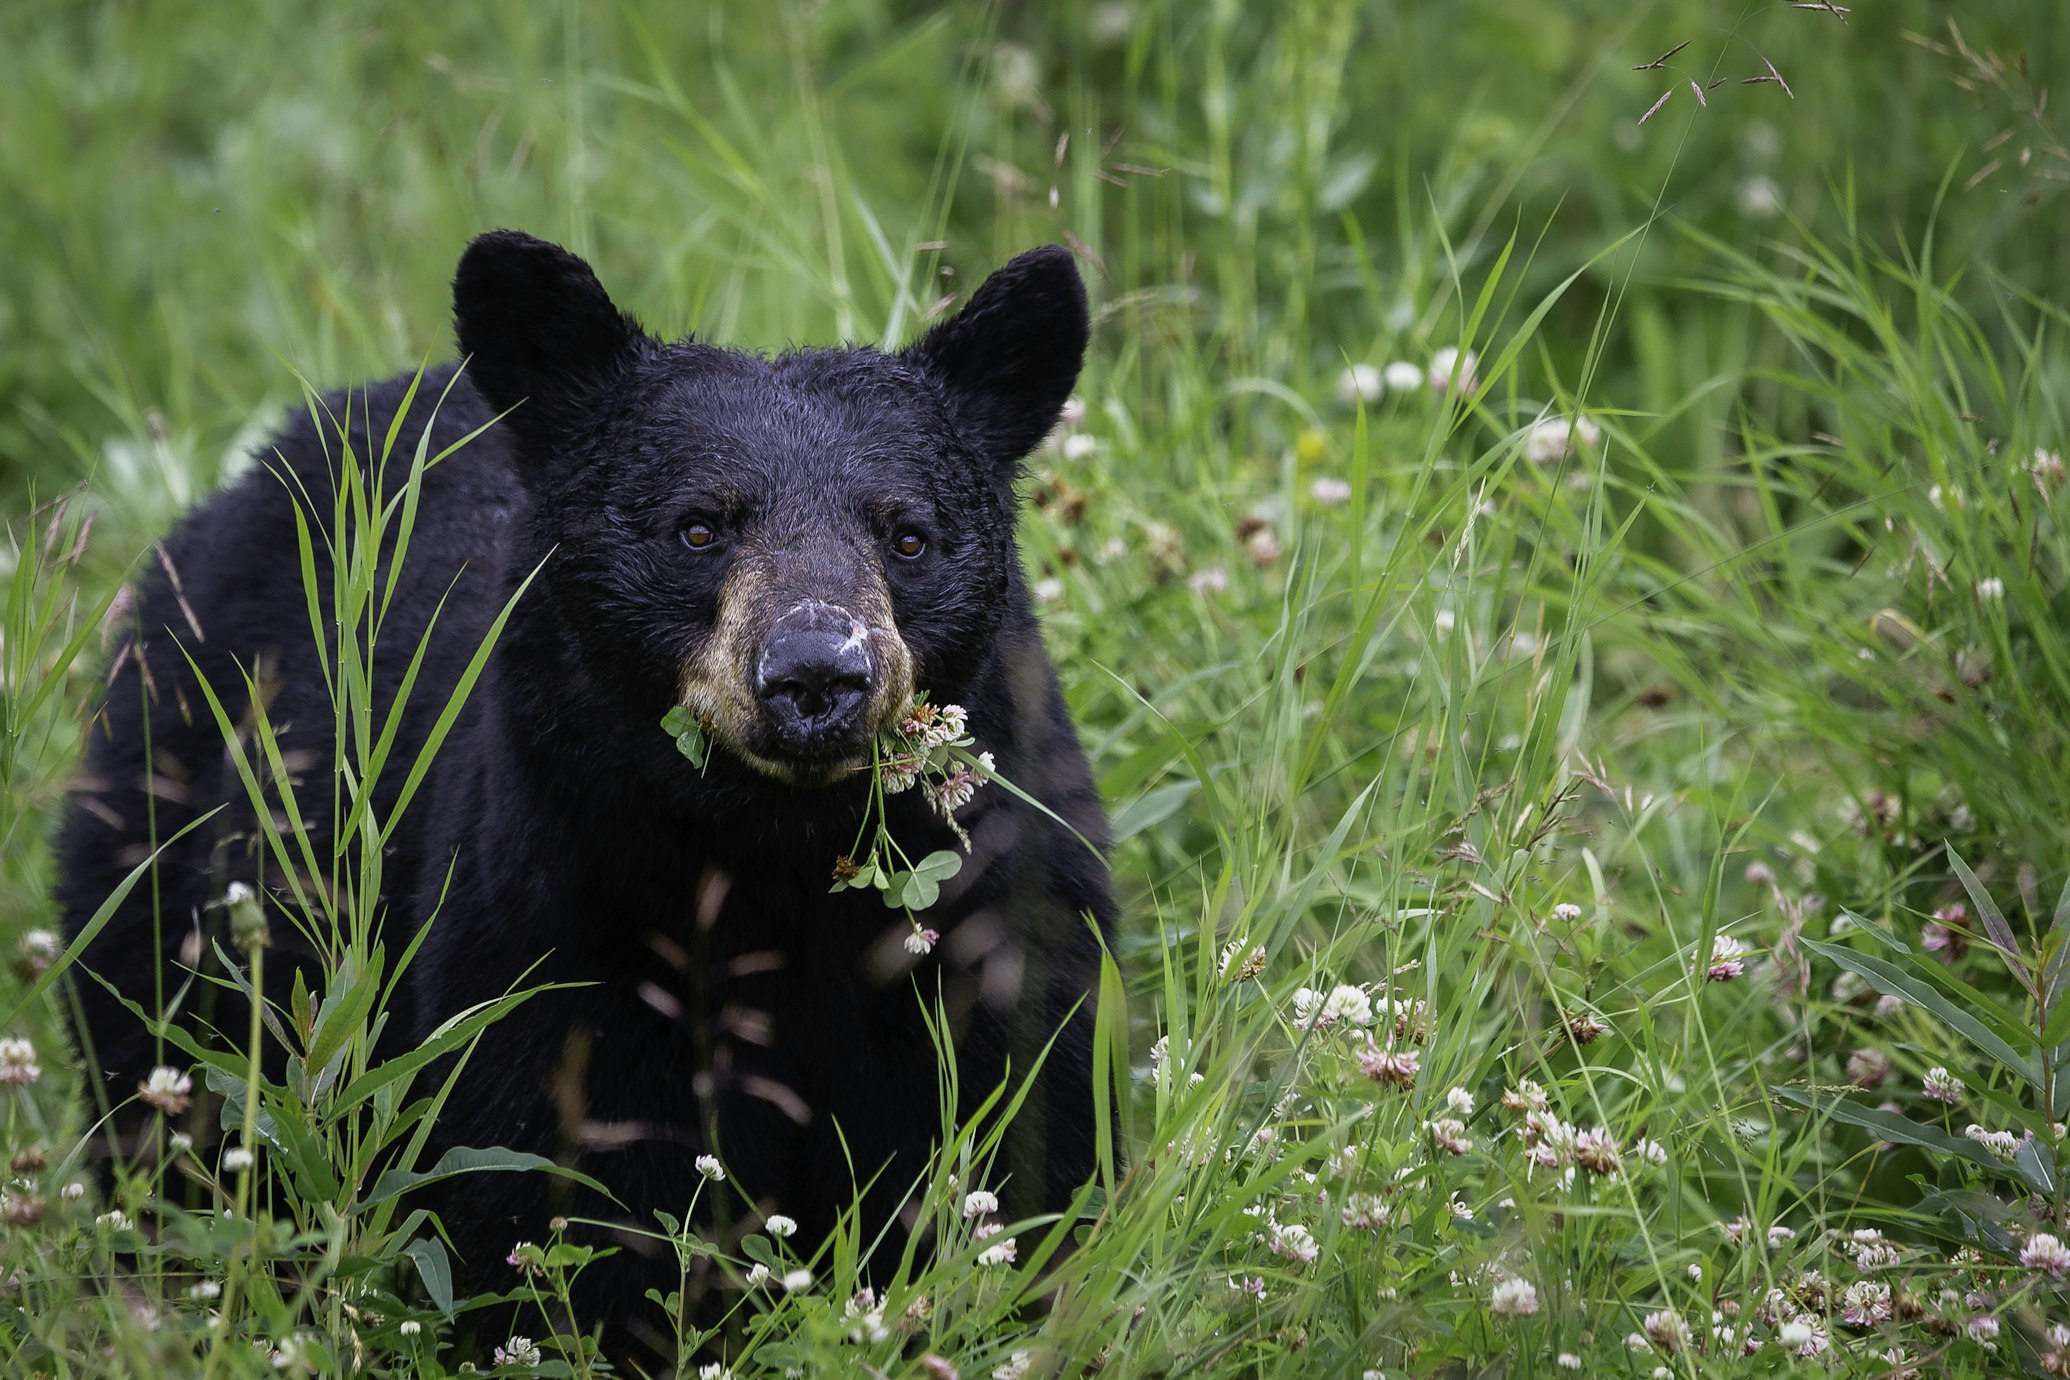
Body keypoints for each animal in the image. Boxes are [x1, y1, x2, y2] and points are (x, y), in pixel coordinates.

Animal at [56, 229, 1117, 1357]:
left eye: (906, 534)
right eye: (699, 528)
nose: (816, 676)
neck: (773, 854)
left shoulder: (995, 908)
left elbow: (1019, 1132)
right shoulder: (554, 911)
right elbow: (562, 1176)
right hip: (166, 824)